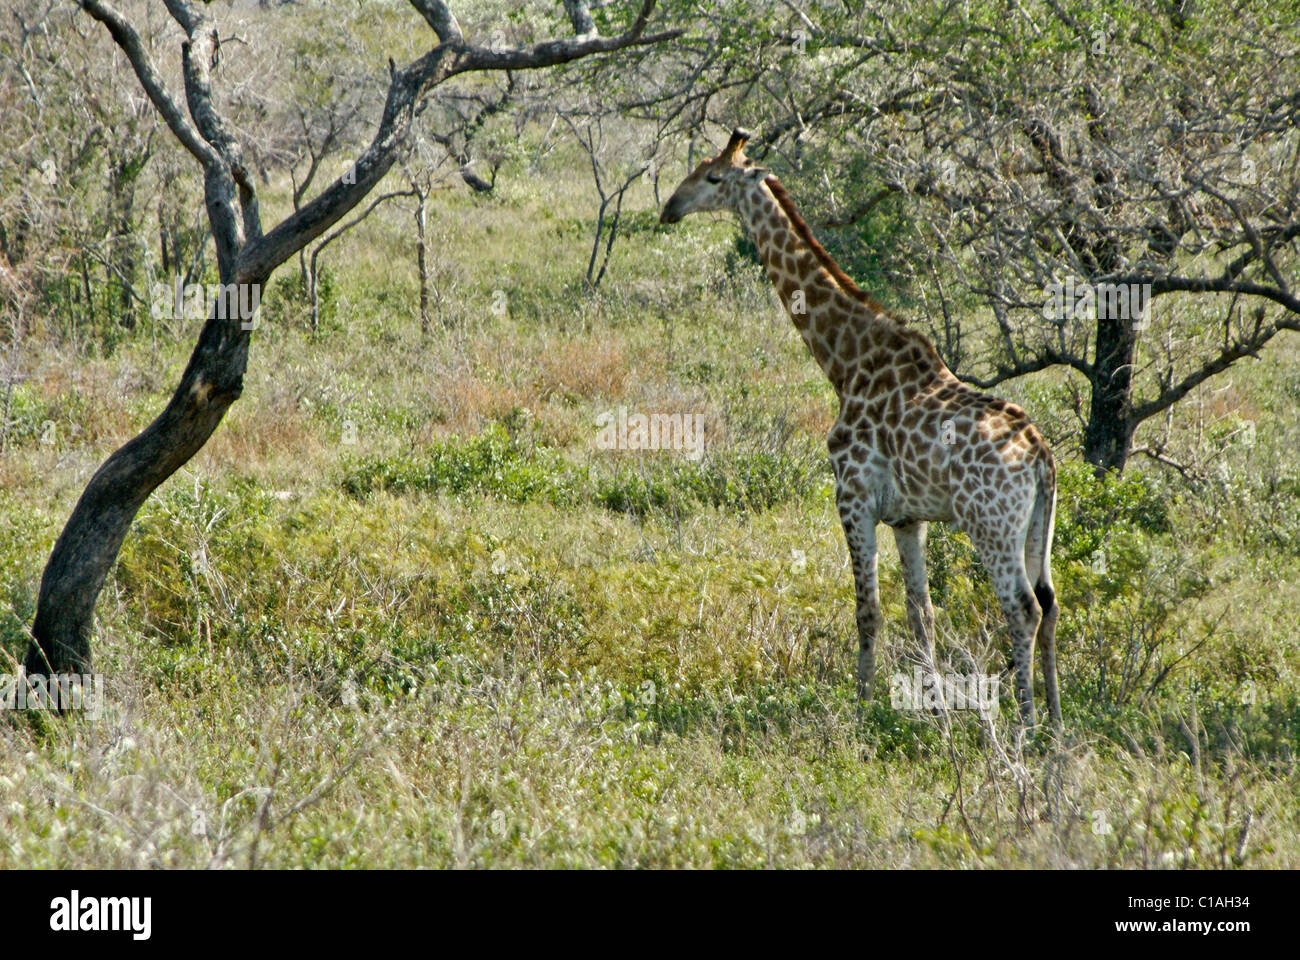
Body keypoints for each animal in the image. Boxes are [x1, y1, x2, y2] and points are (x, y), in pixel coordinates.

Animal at [659, 129, 1061, 728]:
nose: (669, 208)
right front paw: (931, 711)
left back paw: (1025, 724)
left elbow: (867, 608)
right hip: (1036, 524)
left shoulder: (852, 496)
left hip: (989, 522)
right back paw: (1057, 722)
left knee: (1022, 607)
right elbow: (922, 613)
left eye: (712, 177)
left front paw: (864, 710)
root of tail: (1040, 458)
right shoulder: (908, 518)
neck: (845, 363)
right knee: (1050, 602)